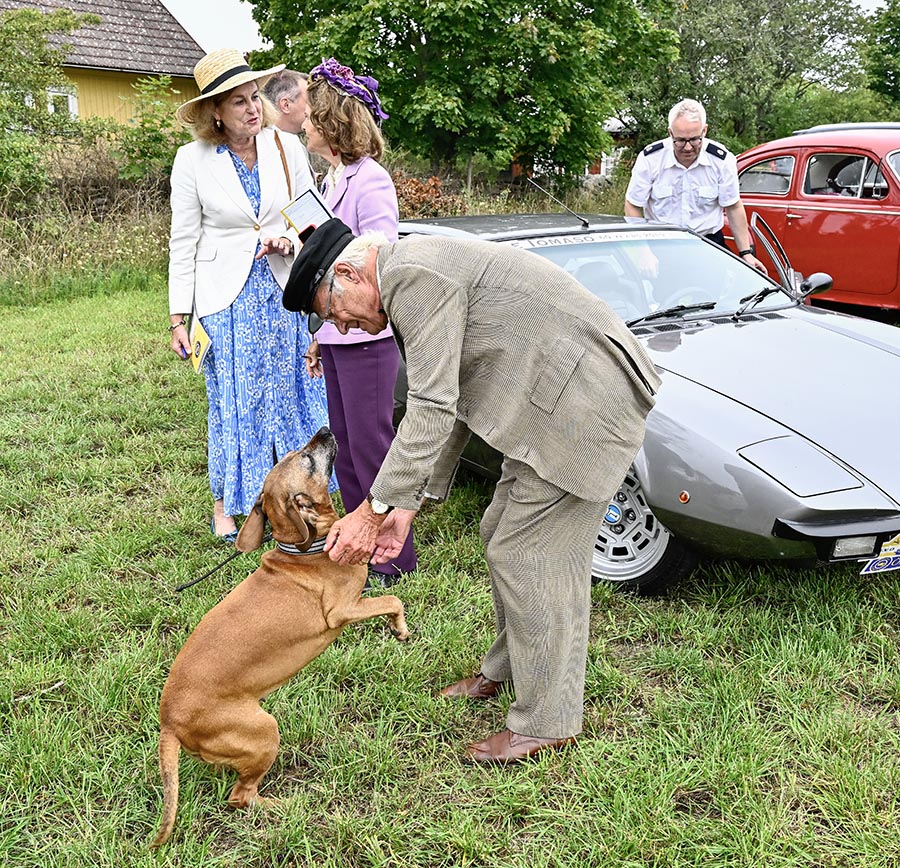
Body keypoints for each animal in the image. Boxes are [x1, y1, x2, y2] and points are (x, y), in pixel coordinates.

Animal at [152, 428, 412, 848]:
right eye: (306, 459)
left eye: (295, 452)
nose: (324, 431)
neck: (305, 549)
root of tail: (168, 724)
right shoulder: (343, 610)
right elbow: (392, 599)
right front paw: (399, 627)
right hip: (264, 732)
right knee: (240, 797)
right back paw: (286, 806)